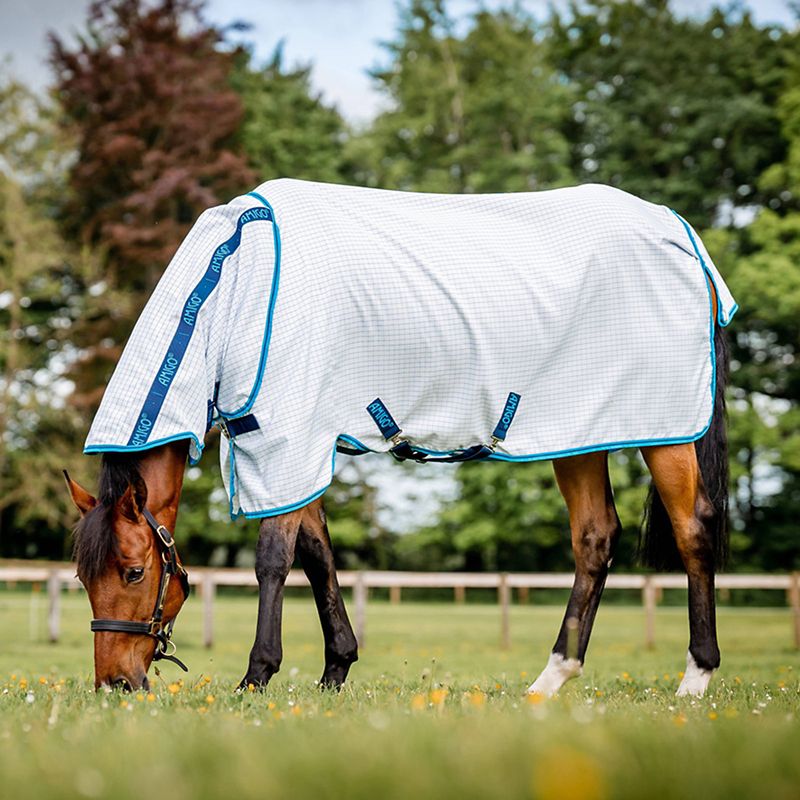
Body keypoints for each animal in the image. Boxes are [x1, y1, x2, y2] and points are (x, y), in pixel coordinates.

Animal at [65, 180, 736, 692]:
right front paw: (335, 672)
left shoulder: (288, 439)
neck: (232, 283)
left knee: (693, 529)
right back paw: (550, 681)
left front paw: (256, 678)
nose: (114, 684)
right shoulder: (302, 447)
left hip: (664, 433)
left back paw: (695, 678)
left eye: (133, 573)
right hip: (576, 433)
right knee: (595, 538)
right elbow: (318, 556)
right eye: (80, 578)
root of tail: (680, 233)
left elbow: (274, 560)